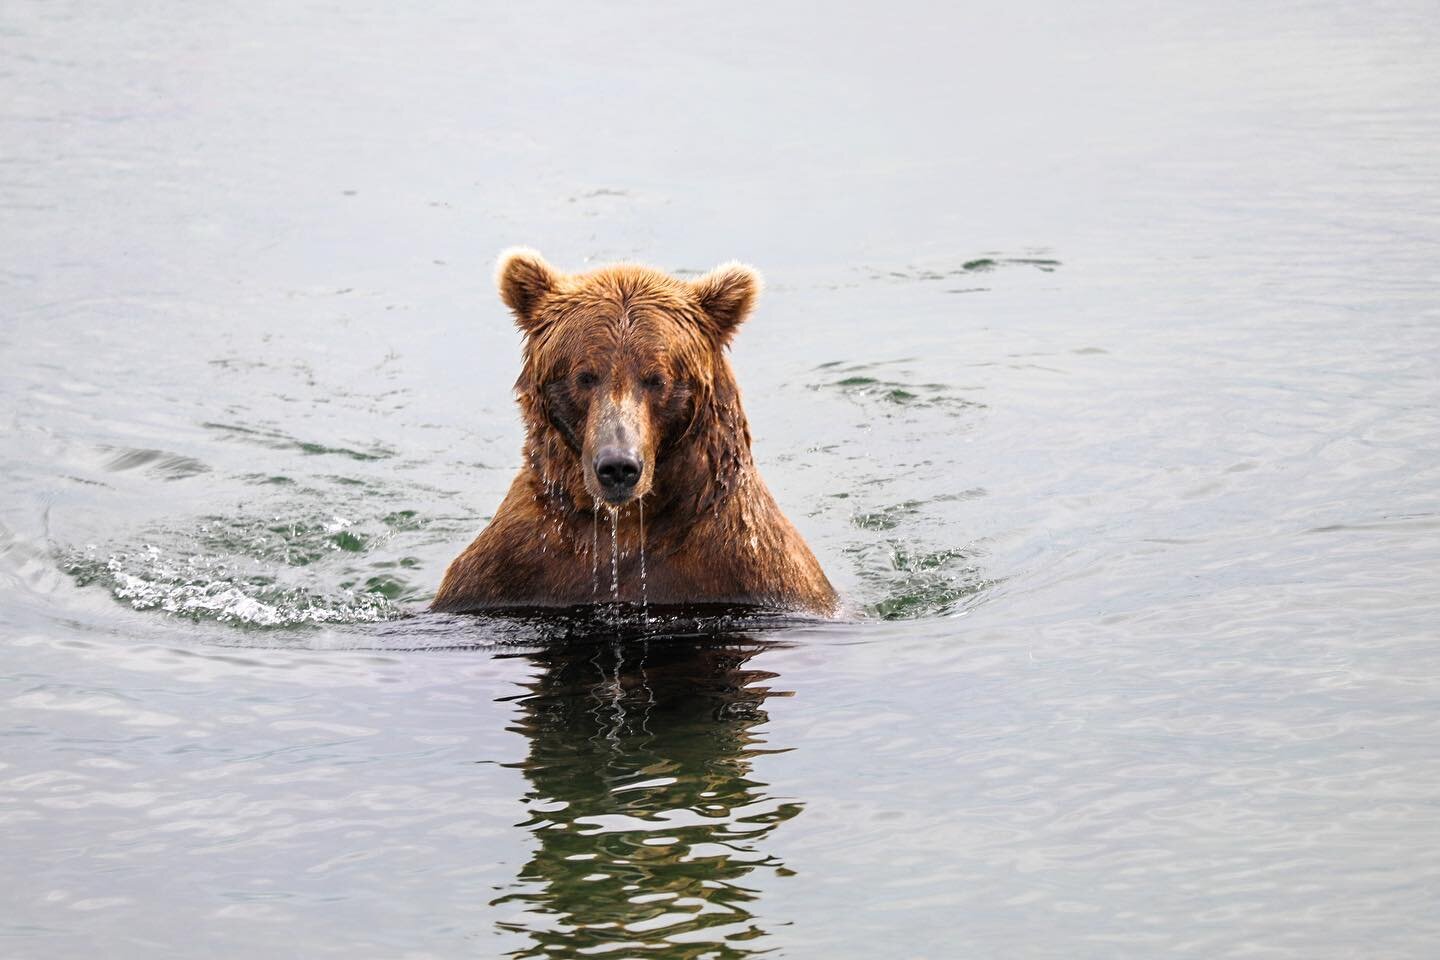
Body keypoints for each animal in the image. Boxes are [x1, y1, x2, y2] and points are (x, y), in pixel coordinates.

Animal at [429, 250, 835, 616]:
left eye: (657, 378)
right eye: (584, 375)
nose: (618, 466)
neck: (624, 529)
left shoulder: (746, 565)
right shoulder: (515, 565)